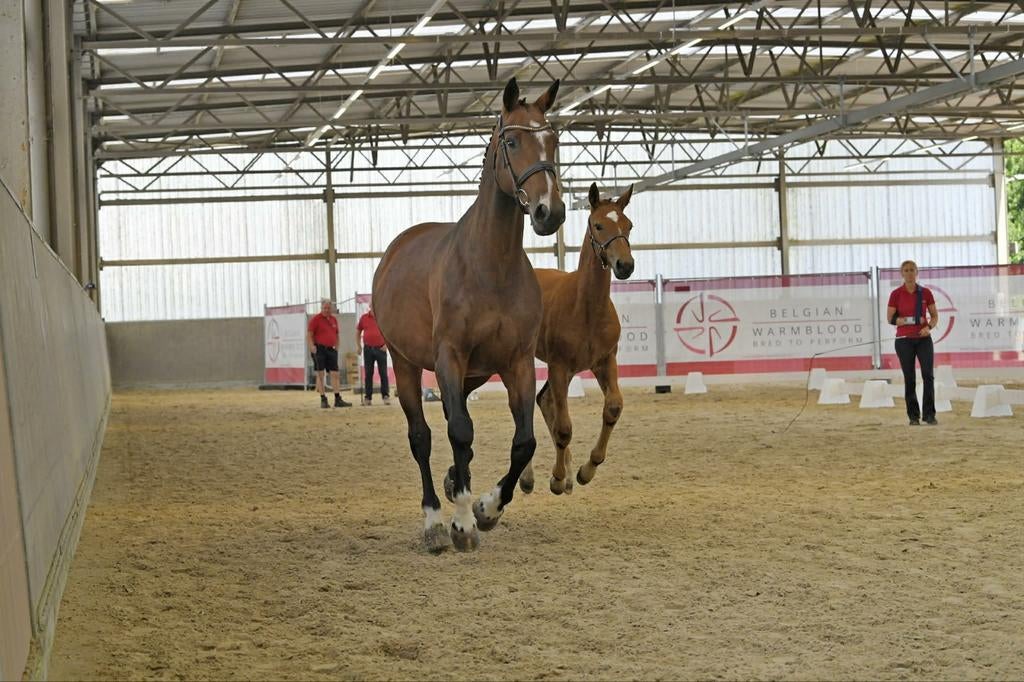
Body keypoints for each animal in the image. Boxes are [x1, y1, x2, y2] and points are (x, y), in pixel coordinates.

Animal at [371, 78, 564, 552]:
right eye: (511, 142)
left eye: (553, 140)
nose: (549, 213)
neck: (491, 266)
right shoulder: (449, 357)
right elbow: (457, 432)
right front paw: (461, 522)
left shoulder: (516, 363)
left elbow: (523, 442)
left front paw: (487, 508)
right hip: (406, 363)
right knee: (422, 437)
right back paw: (434, 522)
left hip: (473, 374)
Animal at [520, 182, 635, 496]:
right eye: (598, 225)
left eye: (629, 225)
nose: (625, 265)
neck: (586, 308)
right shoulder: (559, 366)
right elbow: (564, 428)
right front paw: (558, 478)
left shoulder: (604, 361)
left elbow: (613, 408)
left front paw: (585, 470)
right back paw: (528, 477)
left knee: (544, 399)